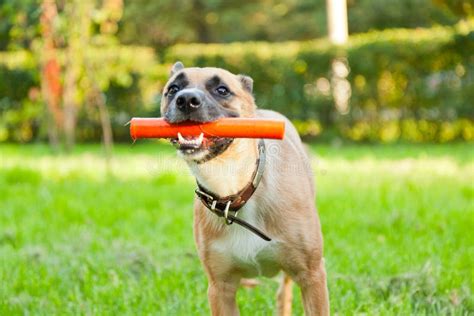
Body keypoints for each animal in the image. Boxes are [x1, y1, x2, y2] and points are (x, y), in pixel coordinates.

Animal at [161, 62, 328, 316]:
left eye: (222, 90)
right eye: (173, 89)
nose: (186, 99)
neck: (234, 186)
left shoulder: (312, 275)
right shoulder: (220, 287)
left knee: (284, 292)